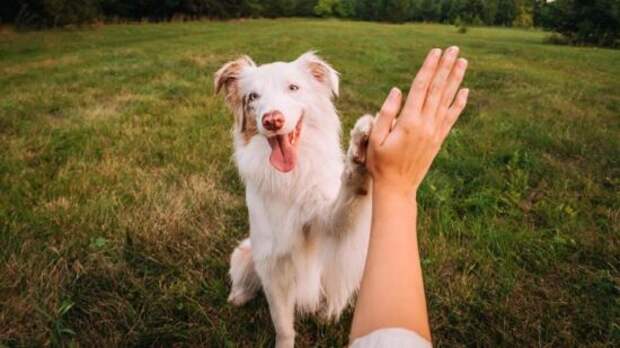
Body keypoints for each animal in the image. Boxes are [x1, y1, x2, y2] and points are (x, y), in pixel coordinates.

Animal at [216, 50, 376, 346]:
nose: (272, 120)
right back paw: (239, 295)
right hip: (244, 251)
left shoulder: (330, 221)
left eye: (293, 88)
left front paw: (361, 149)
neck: (291, 177)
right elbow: (282, 323)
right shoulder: (272, 263)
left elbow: (351, 191)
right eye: (252, 97)